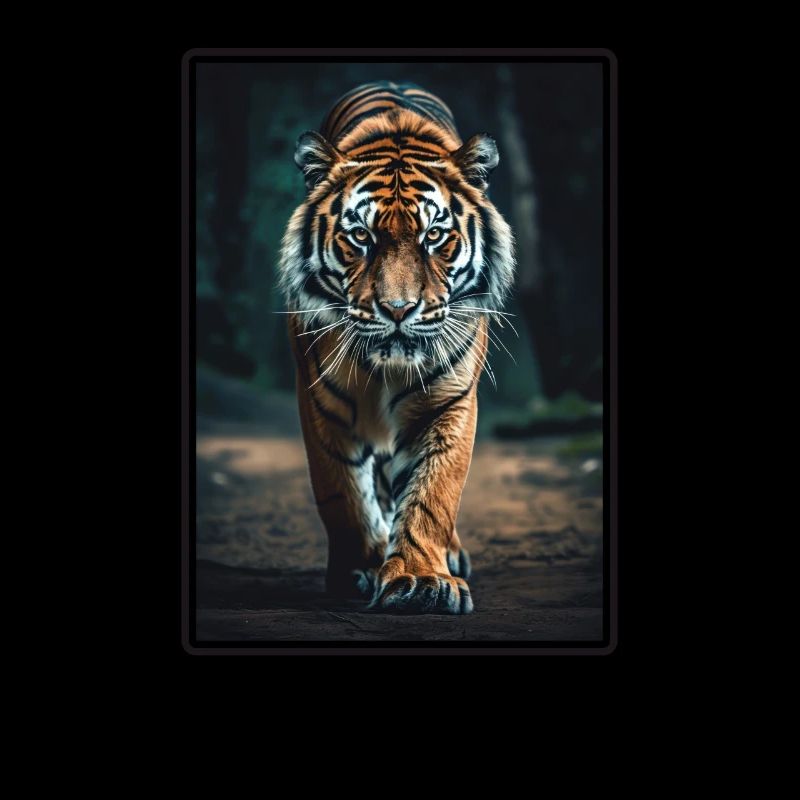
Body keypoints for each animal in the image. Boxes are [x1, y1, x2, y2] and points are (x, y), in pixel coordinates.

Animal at [278, 81, 515, 614]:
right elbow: (343, 493)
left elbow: (432, 493)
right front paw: (362, 569)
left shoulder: (449, 403)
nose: (399, 309)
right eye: (360, 236)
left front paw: (420, 580)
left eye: (434, 236)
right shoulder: (321, 403)